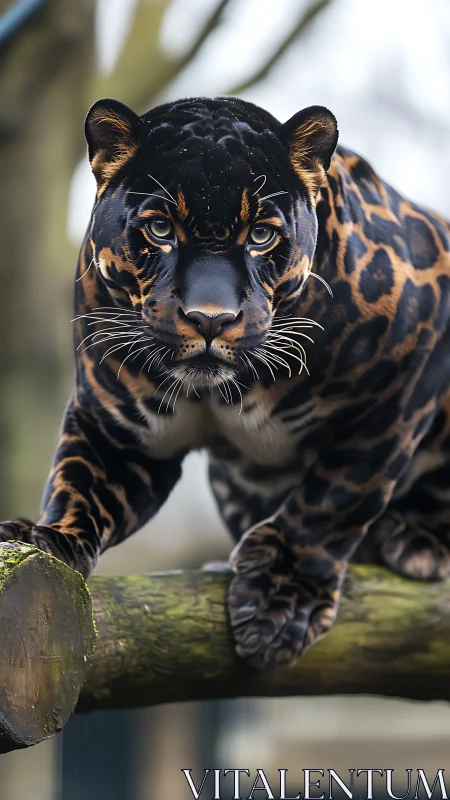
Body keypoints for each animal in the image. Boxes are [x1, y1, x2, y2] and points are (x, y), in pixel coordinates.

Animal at [1, 95, 450, 669]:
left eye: (261, 234)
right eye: (160, 229)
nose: (210, 319)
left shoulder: (405, 380)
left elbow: (337, 496)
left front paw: (280, 600)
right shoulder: (117, 427)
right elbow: (79, 482)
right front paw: (44, 539)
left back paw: (415, 540)